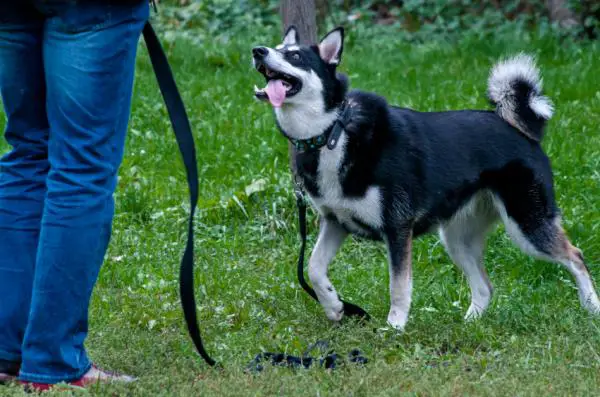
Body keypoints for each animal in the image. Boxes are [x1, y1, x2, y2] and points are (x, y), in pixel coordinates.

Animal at [252, 25, 600, 328]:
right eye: (276, 48)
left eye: (295, 56)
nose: (258, 51)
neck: (334, 132)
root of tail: (522, 130)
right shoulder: (335, 222)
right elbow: (313, 268)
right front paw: (334, 306)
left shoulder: (397, 228)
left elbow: (398, 286)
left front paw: (394, 327)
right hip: (458, 239)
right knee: (485, 286)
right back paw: (470, 323)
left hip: (528, 225)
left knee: (576, 256)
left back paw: (592, 307)